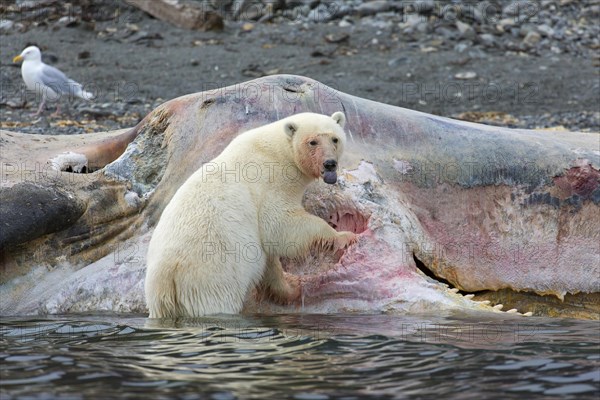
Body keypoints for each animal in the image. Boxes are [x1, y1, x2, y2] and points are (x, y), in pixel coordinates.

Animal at [145, 111, 356, 318]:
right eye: (313, 141)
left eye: (335, 139)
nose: (329, 164)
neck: (277, 150)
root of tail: (166, 279)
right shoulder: (272, 181)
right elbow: (279, 224)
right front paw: (344, 236)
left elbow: (269, 259)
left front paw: (290, 288)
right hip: (208, 279)